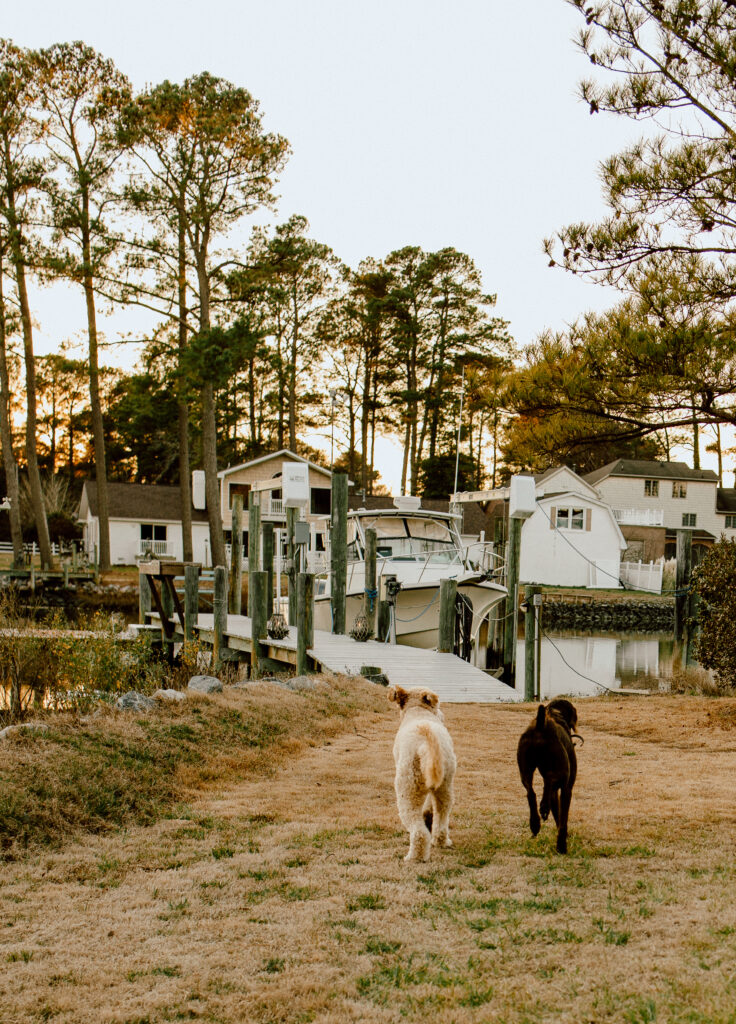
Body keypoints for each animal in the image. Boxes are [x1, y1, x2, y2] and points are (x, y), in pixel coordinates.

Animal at [388, 684, 458, 860]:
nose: (442, 715)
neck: (418, 711)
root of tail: (426, 742)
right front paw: (427, 814)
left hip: (408, 788)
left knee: (418, 831)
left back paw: (414, 857)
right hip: (444, 785)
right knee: (441, 815)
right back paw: (441, 841)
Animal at [517, 696, 581, 856]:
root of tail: (541, 725)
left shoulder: (555, 794)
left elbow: (558, 815)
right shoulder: (567, 789)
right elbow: (563, 820)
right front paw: (561, 845)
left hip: (525, 771)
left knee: (531, 793)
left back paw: (535, 823)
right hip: (562, 771)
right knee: (549, 781)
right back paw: (544, 809)